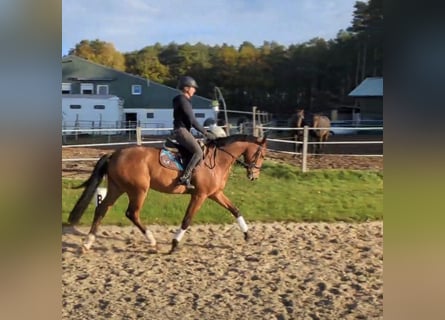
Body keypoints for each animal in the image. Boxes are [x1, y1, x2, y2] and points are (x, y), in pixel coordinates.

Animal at [67, 134, 266, 254]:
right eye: (262, 155)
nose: (254, 176)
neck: (216, 161)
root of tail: (114, 154)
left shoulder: (215, 193)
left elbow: (235, 210)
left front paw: (247, 235)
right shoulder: (199, 195)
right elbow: (187, 220)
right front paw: (174, 244)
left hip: (118, 188)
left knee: (102, 209)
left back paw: (87, 243)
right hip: (138, 190)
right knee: (132, 213)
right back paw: (152, 242)